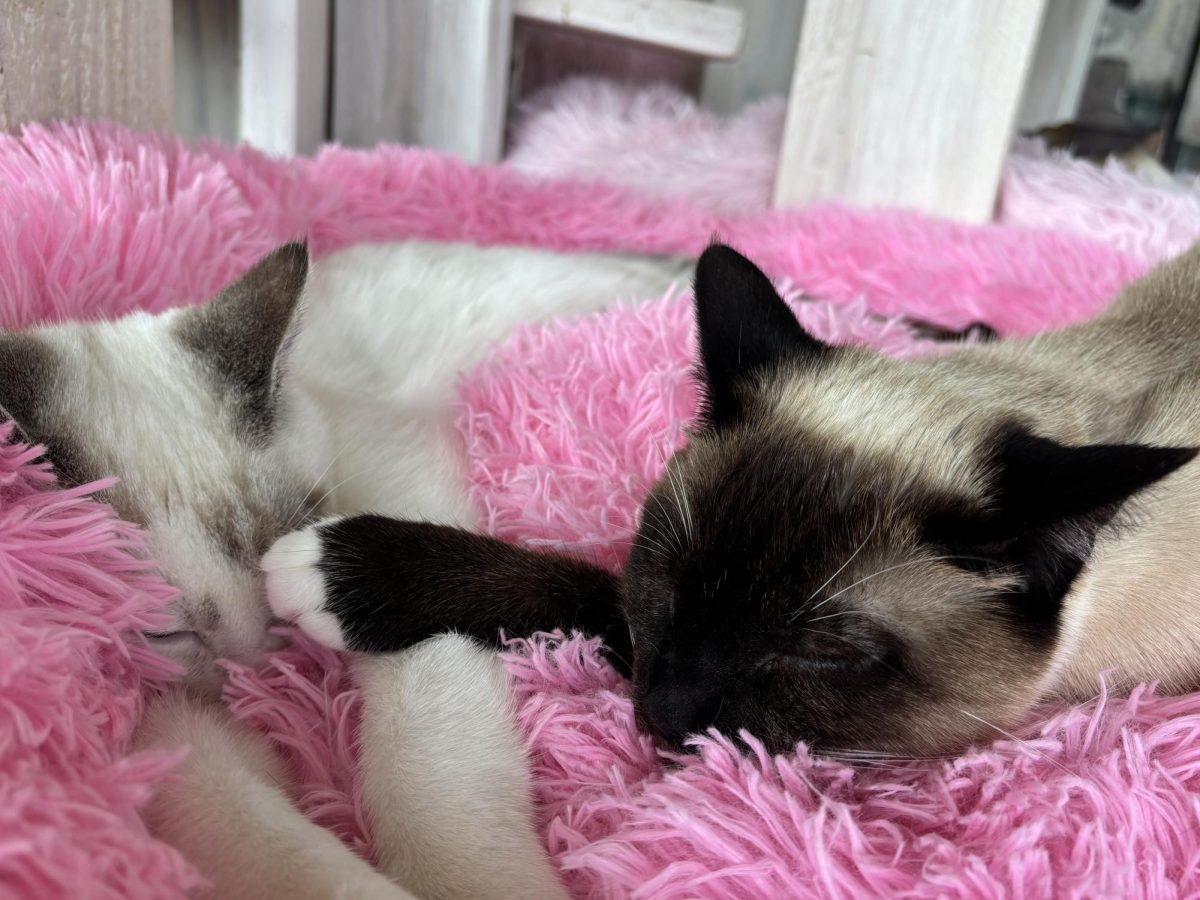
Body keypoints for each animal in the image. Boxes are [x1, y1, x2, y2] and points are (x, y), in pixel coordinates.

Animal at [267, 240, 1200, 763]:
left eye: (822, 655)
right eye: (668, 574)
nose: (659, 714)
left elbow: (588, 592)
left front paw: (336, 573)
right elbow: (587, 587)